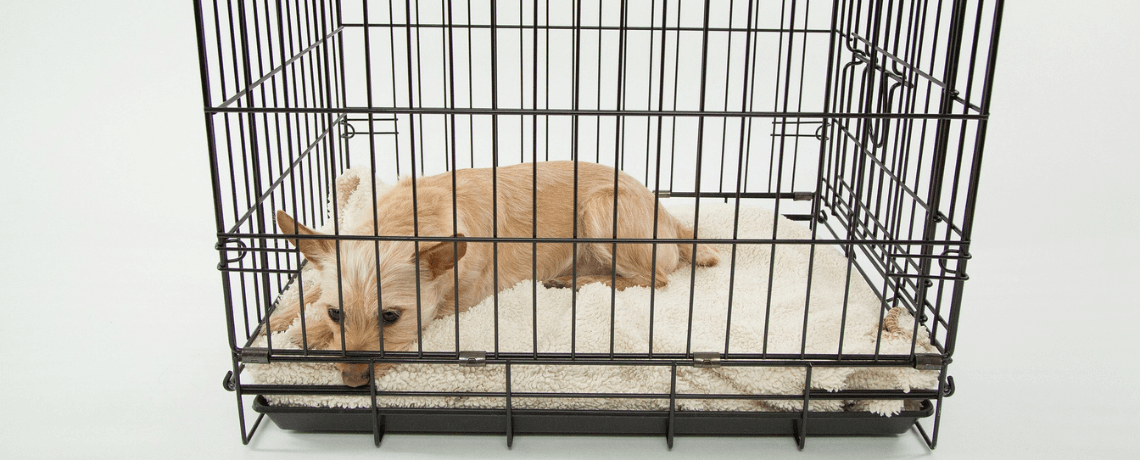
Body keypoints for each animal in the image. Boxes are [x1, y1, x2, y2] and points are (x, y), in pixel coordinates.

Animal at [269, 159, 711, 387]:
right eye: (336, 313)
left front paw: (305, 333)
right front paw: (283, 319)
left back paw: (575, 279)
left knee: (653, 279)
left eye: (391, 316)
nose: (351, 378)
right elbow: (309, 290)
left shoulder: (455, 303)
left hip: (603, 212)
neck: (410, 218)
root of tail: (671, 220)